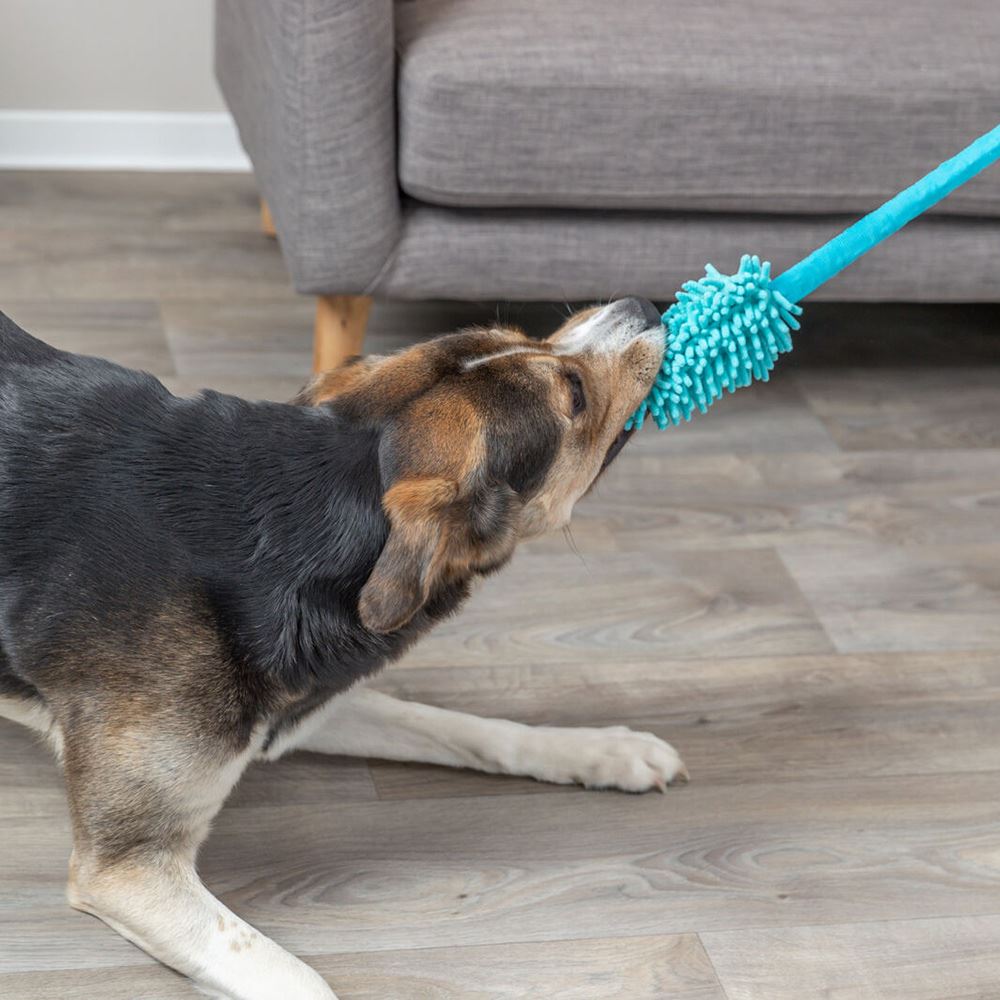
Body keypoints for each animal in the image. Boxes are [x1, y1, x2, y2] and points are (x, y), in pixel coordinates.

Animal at [0, 300, 688, 1000]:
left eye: (527, 335)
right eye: (573, 394)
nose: (642, 305)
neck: (294, 530)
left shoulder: (301, 706)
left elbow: (463, 727)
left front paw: (605, 751)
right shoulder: (127, 867)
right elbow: (298, 979)